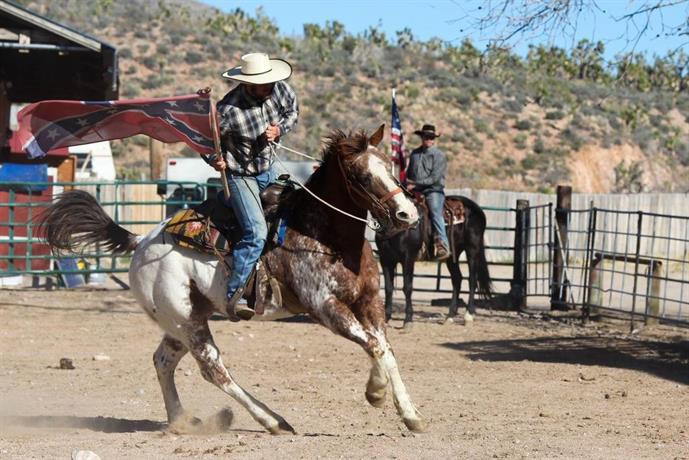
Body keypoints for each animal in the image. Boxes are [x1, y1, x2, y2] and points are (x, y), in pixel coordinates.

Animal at [37, 126, 428, 434]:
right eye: (362, 176)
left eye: (390, 166)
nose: (407, 214)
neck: (323, 235)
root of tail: (140, 241)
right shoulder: (325, 307)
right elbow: (374, 346)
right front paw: (376, 393)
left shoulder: (370, 301)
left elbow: (385, 348)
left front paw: (409, 414)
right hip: (188, 322)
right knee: (213, 370)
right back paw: (272, 420)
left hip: (182, 322)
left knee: (163, 361)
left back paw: (181, 421)